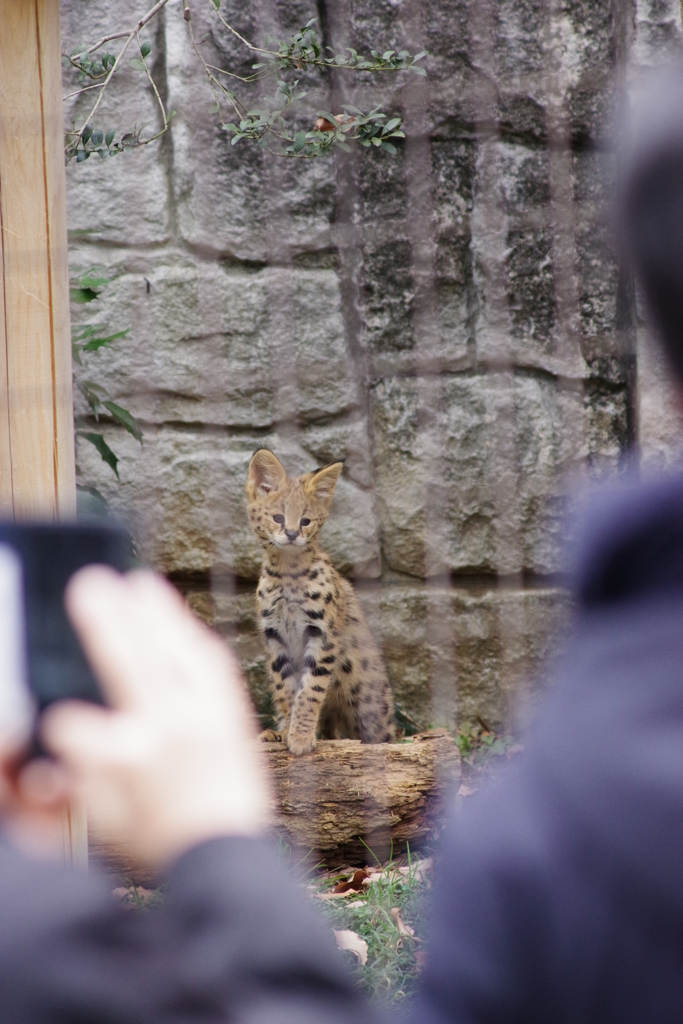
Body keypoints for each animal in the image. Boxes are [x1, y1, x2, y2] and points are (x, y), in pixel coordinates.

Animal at [245, 452, 395, 757]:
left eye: (305, 521)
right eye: (278, 518)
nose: (291, 533)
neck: (287, 574)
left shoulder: (322, 634)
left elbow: (310, 690)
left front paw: (301, 736)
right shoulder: (275, 637)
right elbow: (287, 690)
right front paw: (290, 732)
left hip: (370, 702)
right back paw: (275, 733)